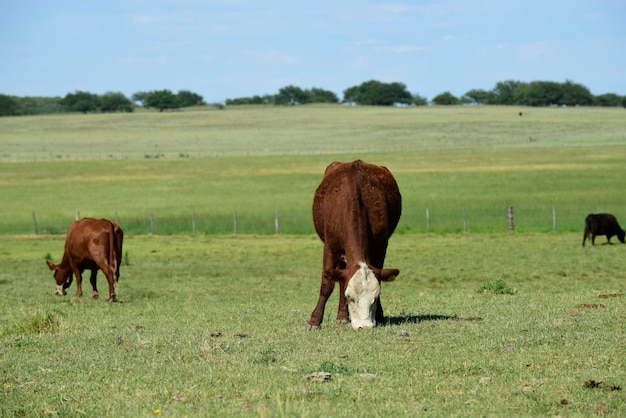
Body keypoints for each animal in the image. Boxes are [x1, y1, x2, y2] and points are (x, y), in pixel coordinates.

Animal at [306, 160, 400, 330]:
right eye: (349, 297)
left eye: (375, 297)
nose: (365, 326)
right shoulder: (330, 248)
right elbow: (327, 285)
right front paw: (314, 321)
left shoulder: (381, 246)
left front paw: (380, 315)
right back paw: (342, 316)